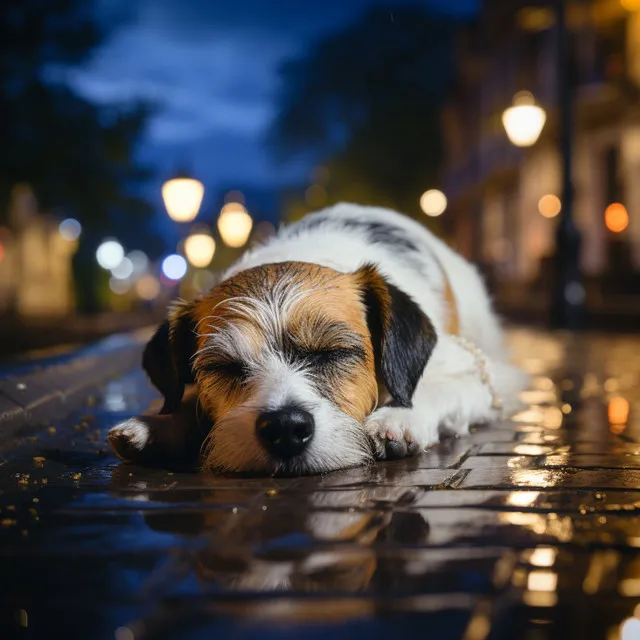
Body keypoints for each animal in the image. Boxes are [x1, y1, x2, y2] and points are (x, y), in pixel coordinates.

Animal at [110, 205, 528, 476]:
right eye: (225, 367)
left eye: (332, 353)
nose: (284, 429)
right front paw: (157, 425)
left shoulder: (483, 379)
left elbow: (436, 389)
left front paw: (399, 416)